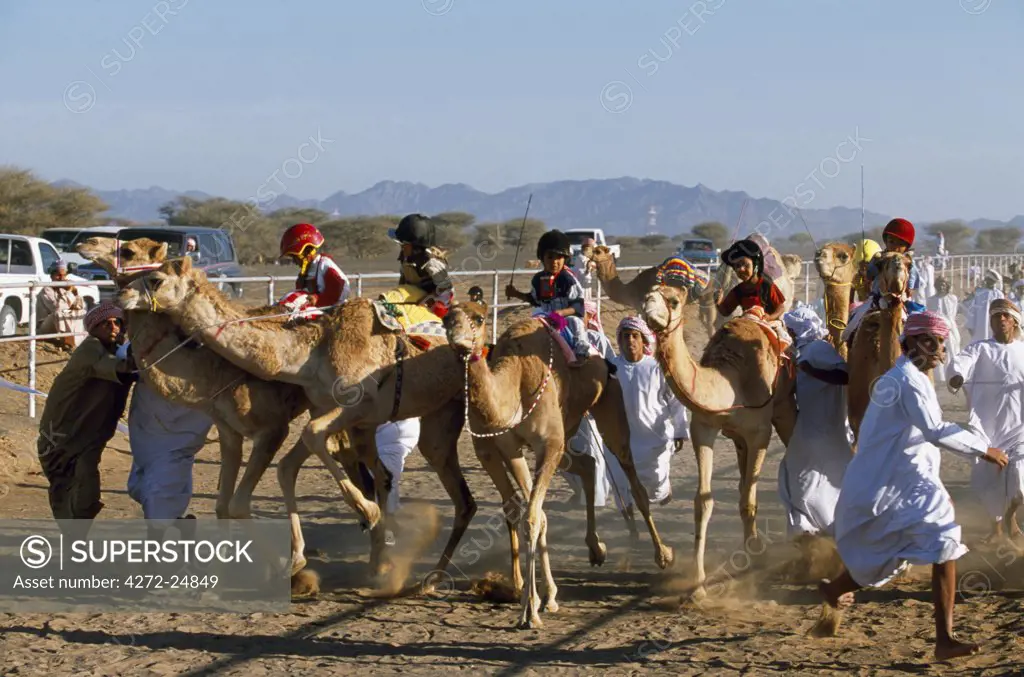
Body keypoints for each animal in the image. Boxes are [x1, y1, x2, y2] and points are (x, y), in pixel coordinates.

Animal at [442, 303, 671, 626]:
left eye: (478, 318)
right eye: (446, 317)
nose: (456, 336)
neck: (515, 382)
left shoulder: (547, 444)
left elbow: (532, 517)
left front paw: (530, 611)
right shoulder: (507, 448)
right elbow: (527, 512)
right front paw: (539, 598)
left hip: (608, 405)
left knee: (632, 476)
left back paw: (662, 554)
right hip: (568, 431)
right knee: (587, 463)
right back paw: (596, 550)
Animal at [638, 282, 798, 598]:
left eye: (673, 301)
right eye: (650, 292)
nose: (648, 305)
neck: (731, 382)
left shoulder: (760, 432)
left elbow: (748, 501)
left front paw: (754, 558)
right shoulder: (704, 428)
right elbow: (704, 501)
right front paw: (698, 585)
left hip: (785, 406)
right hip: (738, 439)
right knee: (741, 481)